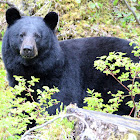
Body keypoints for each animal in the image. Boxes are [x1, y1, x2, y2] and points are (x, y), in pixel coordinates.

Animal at [1, 7, 139, 116]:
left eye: (38, 36)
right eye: (21, 35)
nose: (27, 49)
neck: (32, 68)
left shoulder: (61, 76)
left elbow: (60, 100)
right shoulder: (17, 80)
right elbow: (20, 103)